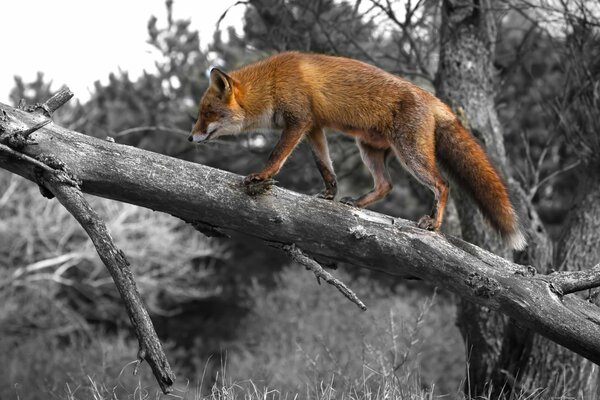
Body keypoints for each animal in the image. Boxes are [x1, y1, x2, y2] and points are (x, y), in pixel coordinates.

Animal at [188, 50, 524, 250]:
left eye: (207, 113)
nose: (190, 138)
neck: (271, 83)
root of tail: (432, 98)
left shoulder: (299, 121)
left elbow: (276, 156)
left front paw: (261, 176)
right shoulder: (314, 127)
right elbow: (325, 166)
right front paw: (330, 194)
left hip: (410, 155)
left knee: (443, 184)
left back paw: (434, 223)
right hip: (369, 150)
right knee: (386, 185)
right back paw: (358, 204)